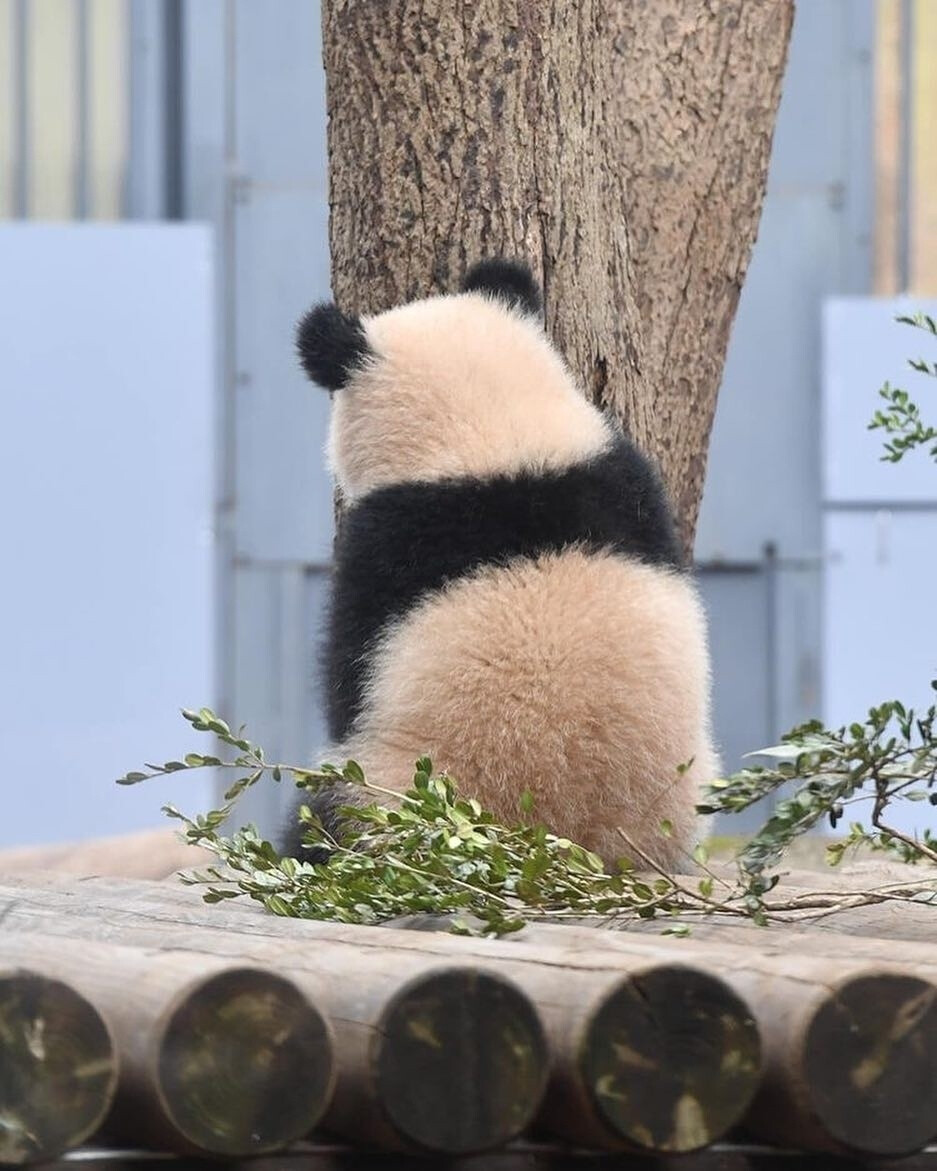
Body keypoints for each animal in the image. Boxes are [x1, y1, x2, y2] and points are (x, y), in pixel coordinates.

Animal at [285, 265, 716, 871]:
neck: (492, 439)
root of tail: (574, 848)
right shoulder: (627, 485)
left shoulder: (388, 546)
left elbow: (348, 673)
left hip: (389, 793)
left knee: (324, 818)